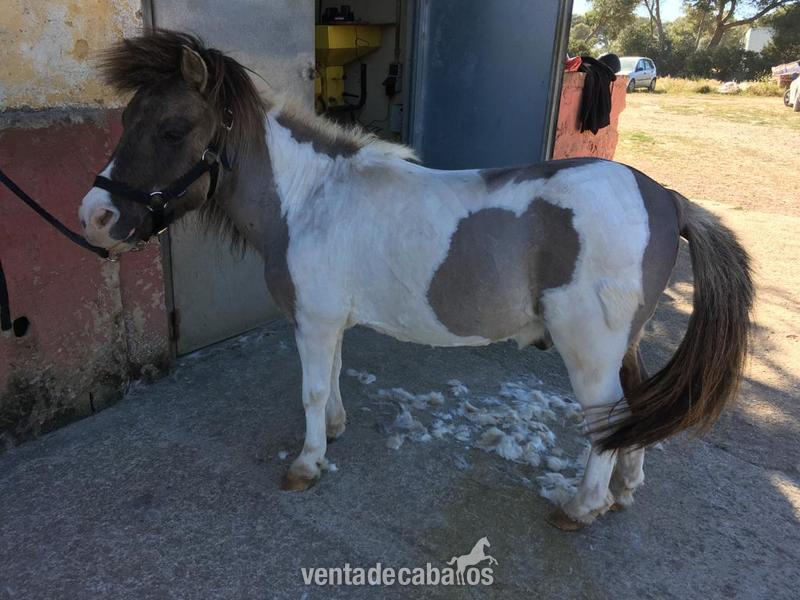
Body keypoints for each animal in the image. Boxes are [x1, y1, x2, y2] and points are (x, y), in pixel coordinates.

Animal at [79, 31, 754, 530]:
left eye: (171, 129)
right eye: (126, 119)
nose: (96, 216)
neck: (310, 197)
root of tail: (665, 198)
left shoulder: (313, 321)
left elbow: (312, 390)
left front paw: (306, 464)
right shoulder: (330, 321)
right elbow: (334, 377)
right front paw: (334, 432)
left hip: (589, 352)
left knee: (605, 420)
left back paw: (582, 507)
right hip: (623, 345)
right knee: (633, 410)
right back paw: (623, 491)